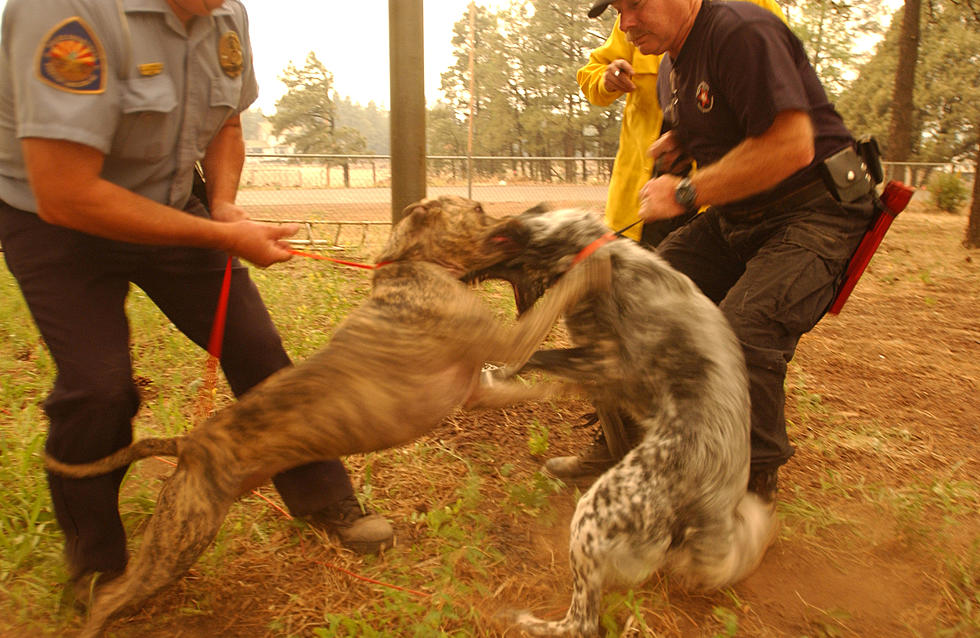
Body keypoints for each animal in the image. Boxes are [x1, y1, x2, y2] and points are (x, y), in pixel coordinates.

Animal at [49, 198, 612, 636]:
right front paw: (596, 262)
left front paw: (578, 386)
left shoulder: (476, 389)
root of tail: (188, 444)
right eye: (476, 211)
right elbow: (559, 299)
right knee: (112, 594)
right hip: (181, 537)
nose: (528, 216)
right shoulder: (511, 340)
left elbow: (537, 386)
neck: (413, 263)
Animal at [470, 206, 776, 638]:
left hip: (592, 517)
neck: (588, 249)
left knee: (581, 622)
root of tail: (718, 506)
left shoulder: (605, 361)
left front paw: (492, 375)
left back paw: (525, 621)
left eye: (491, 238)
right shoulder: (603, 377)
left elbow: (533, 356)